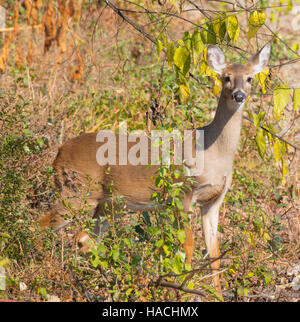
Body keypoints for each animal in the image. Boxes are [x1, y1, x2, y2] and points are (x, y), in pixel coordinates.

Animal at [40, 44, 272, 296]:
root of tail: (59, 153)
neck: (213, 153)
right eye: (226, 77)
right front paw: (183, 290)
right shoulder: (182, 194)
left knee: (85, 239)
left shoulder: (214, 201)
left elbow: (215, 253)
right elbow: (187, 246)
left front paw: (216, 295)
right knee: (43, 225)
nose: (239, 95)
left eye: (249, 78)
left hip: (108, 204)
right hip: (77, 192)